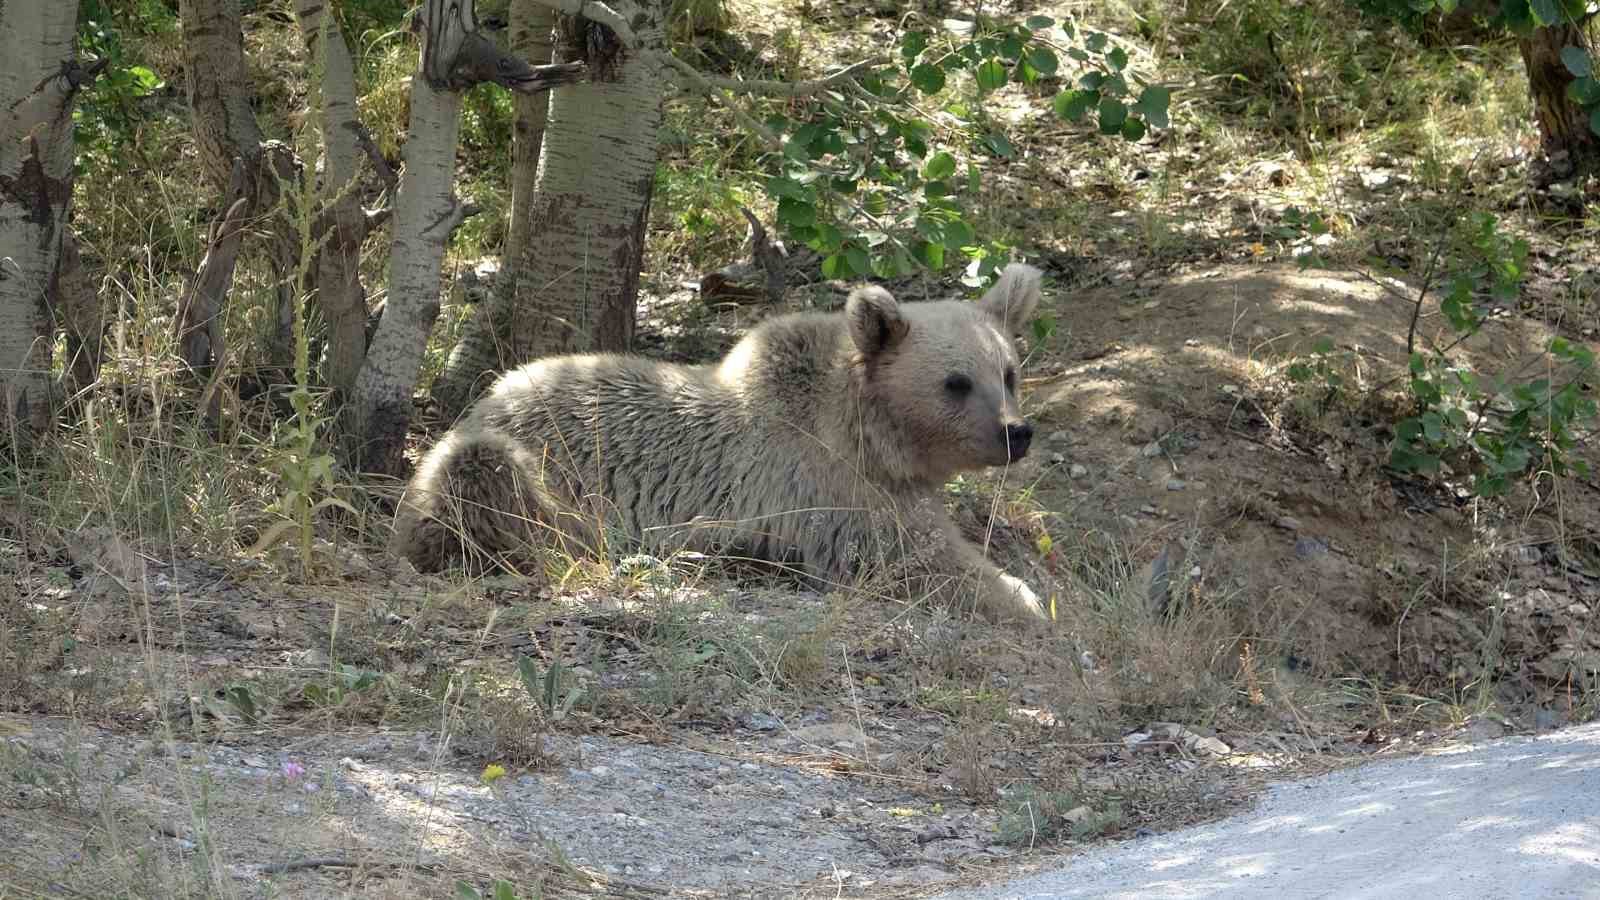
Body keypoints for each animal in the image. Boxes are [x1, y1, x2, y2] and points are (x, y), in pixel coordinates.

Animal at [390, 262, 1049, 621]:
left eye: (1008, 372)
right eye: (956, 382)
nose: (1015, 433)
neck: (869, 429)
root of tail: (482, 400)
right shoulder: (833, 488)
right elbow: (917, 556)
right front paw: (1023, 596)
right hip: (524, 466)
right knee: (483, 480)